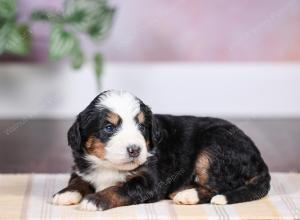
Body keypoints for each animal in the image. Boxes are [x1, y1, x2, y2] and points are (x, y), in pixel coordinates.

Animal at [52, 90, 270, 211]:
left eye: (141, 126)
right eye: (108, 128)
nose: (134, 150)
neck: (109, 165)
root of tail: (260, 159)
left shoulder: (150, 181)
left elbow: (120, 188)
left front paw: (95, 200)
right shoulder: (81, 168)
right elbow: (78, 181)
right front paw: (66, 193)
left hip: (213, 147)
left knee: (220, 186)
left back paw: (187, 194)